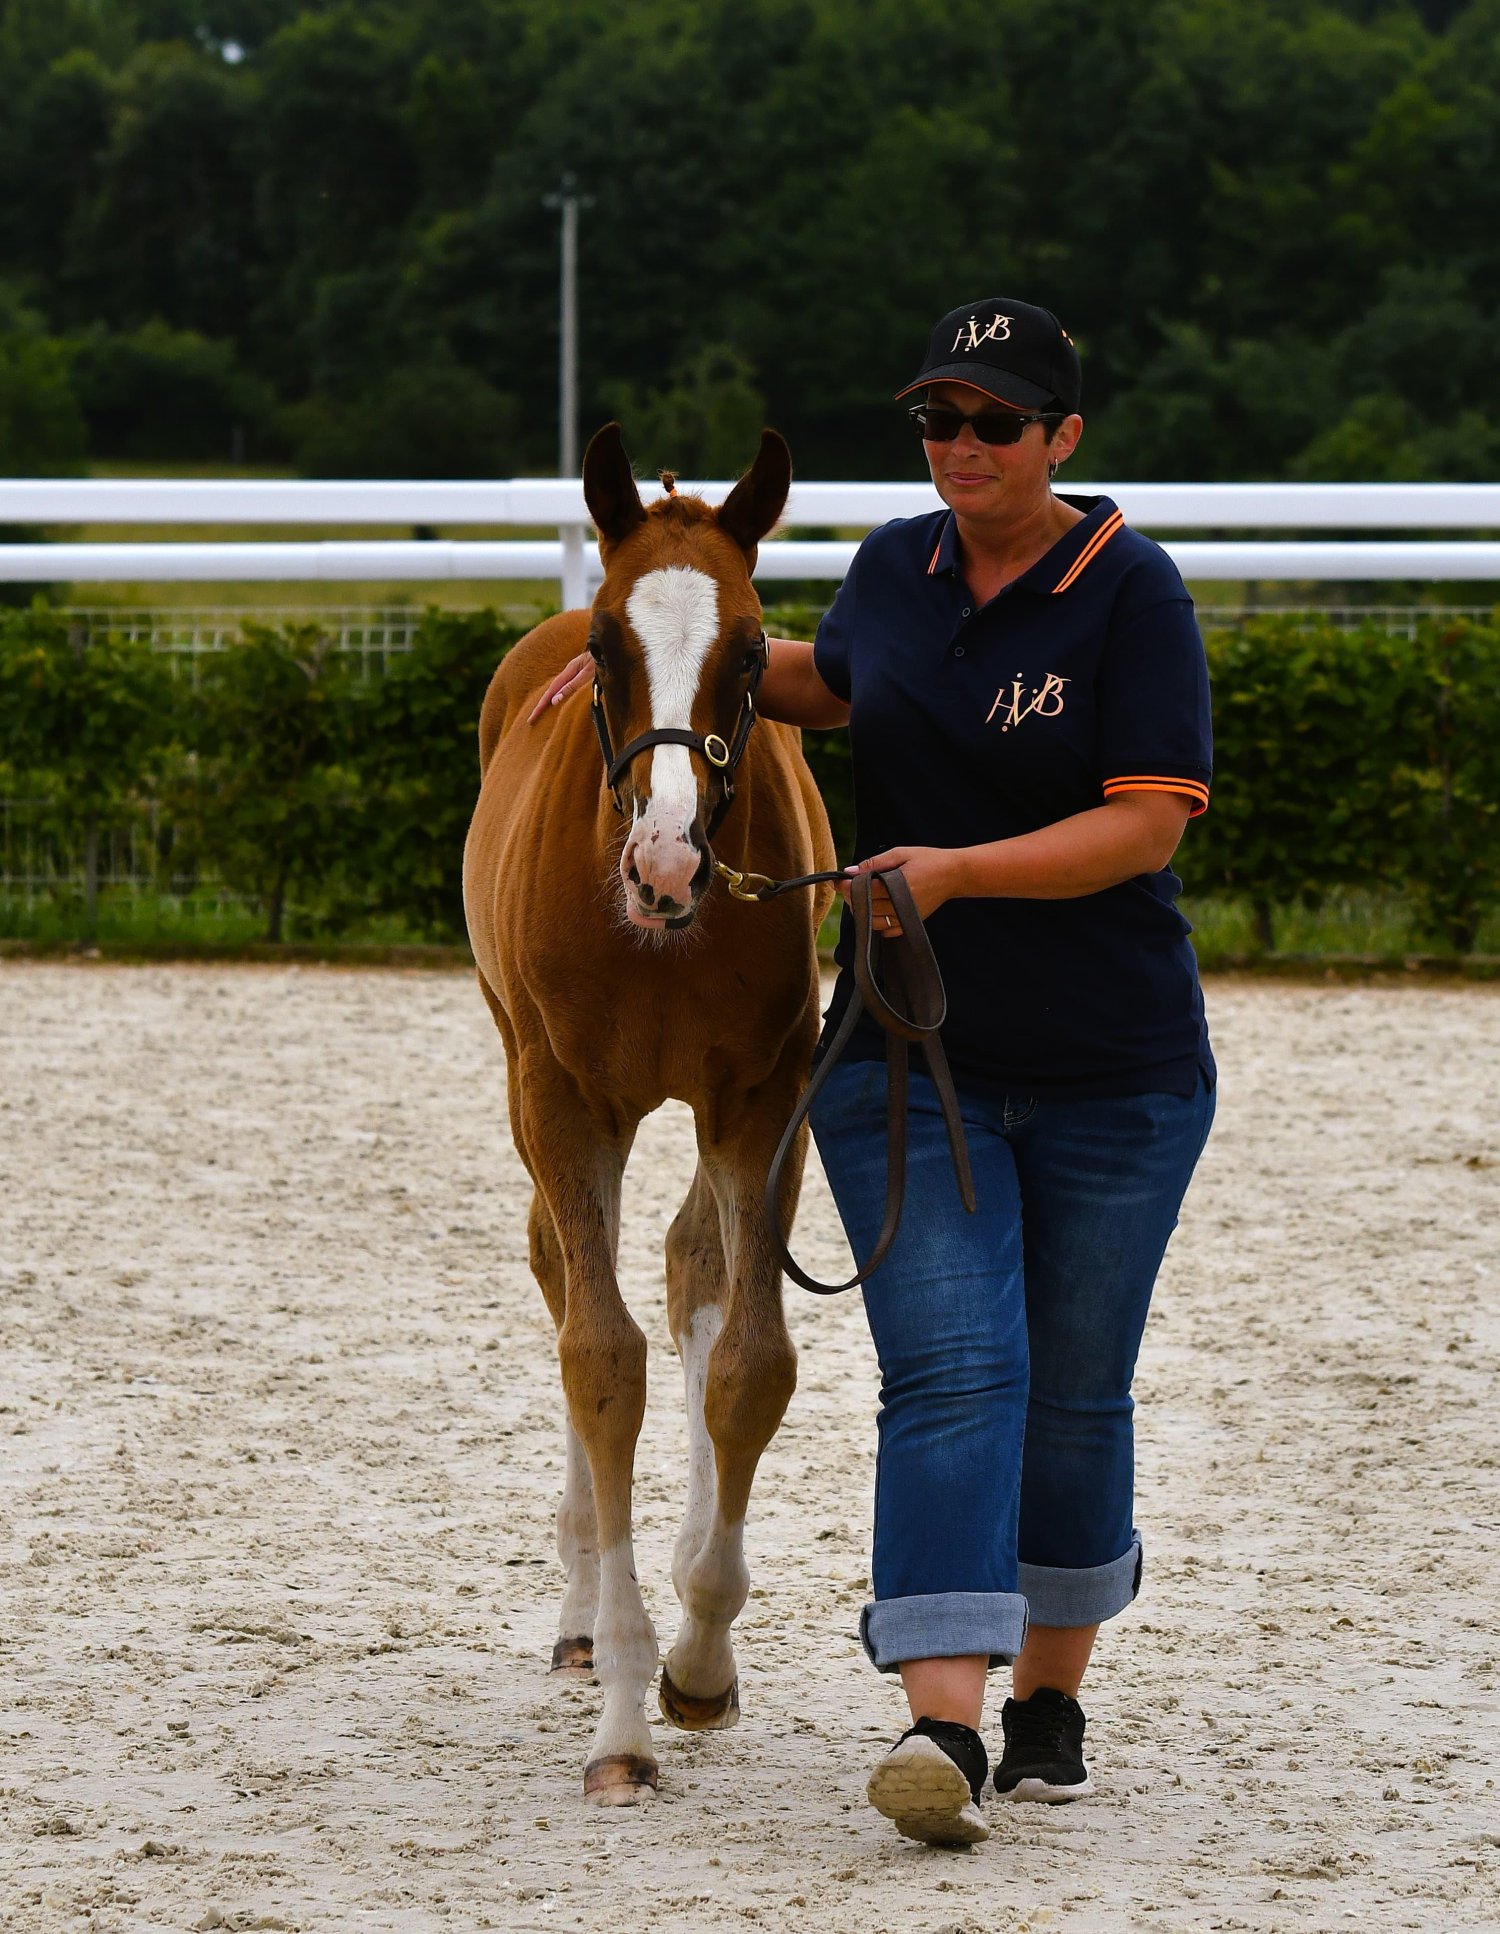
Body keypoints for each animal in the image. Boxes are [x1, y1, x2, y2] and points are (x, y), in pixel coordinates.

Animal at [462, 423, 836, 1806]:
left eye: (756, 651)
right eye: (607, 645)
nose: (667, 865)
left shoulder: (765, 1096)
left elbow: (750, 1362)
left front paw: (702, 1655)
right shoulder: (568, 1100)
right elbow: (599, 1357)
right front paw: (623, 1715)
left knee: (686, 1267)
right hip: (534, 1078)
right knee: (569, 1274)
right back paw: (580, 1616)